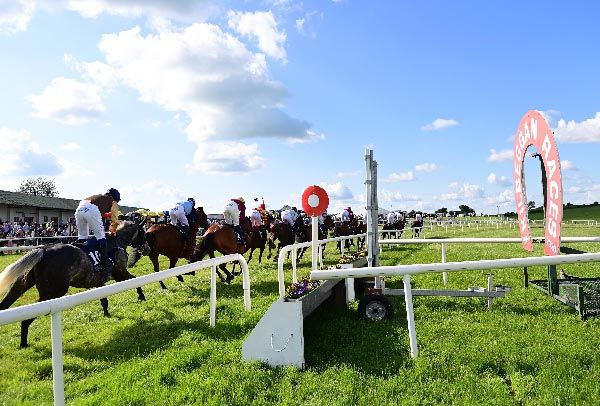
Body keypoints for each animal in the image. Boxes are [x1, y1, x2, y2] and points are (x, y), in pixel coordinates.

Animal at [0, 220, 145, 348]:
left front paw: (106, 313)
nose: (146, 246)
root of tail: (43, 249)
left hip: (23, 282)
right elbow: (135, 280)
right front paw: (141, 296)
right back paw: (24, 342)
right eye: (143, 232)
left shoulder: (99, 282)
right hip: (53, 292)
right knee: (29, 315)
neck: (116, 242)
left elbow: (104, 300)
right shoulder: (120, 274)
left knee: (7, 301)